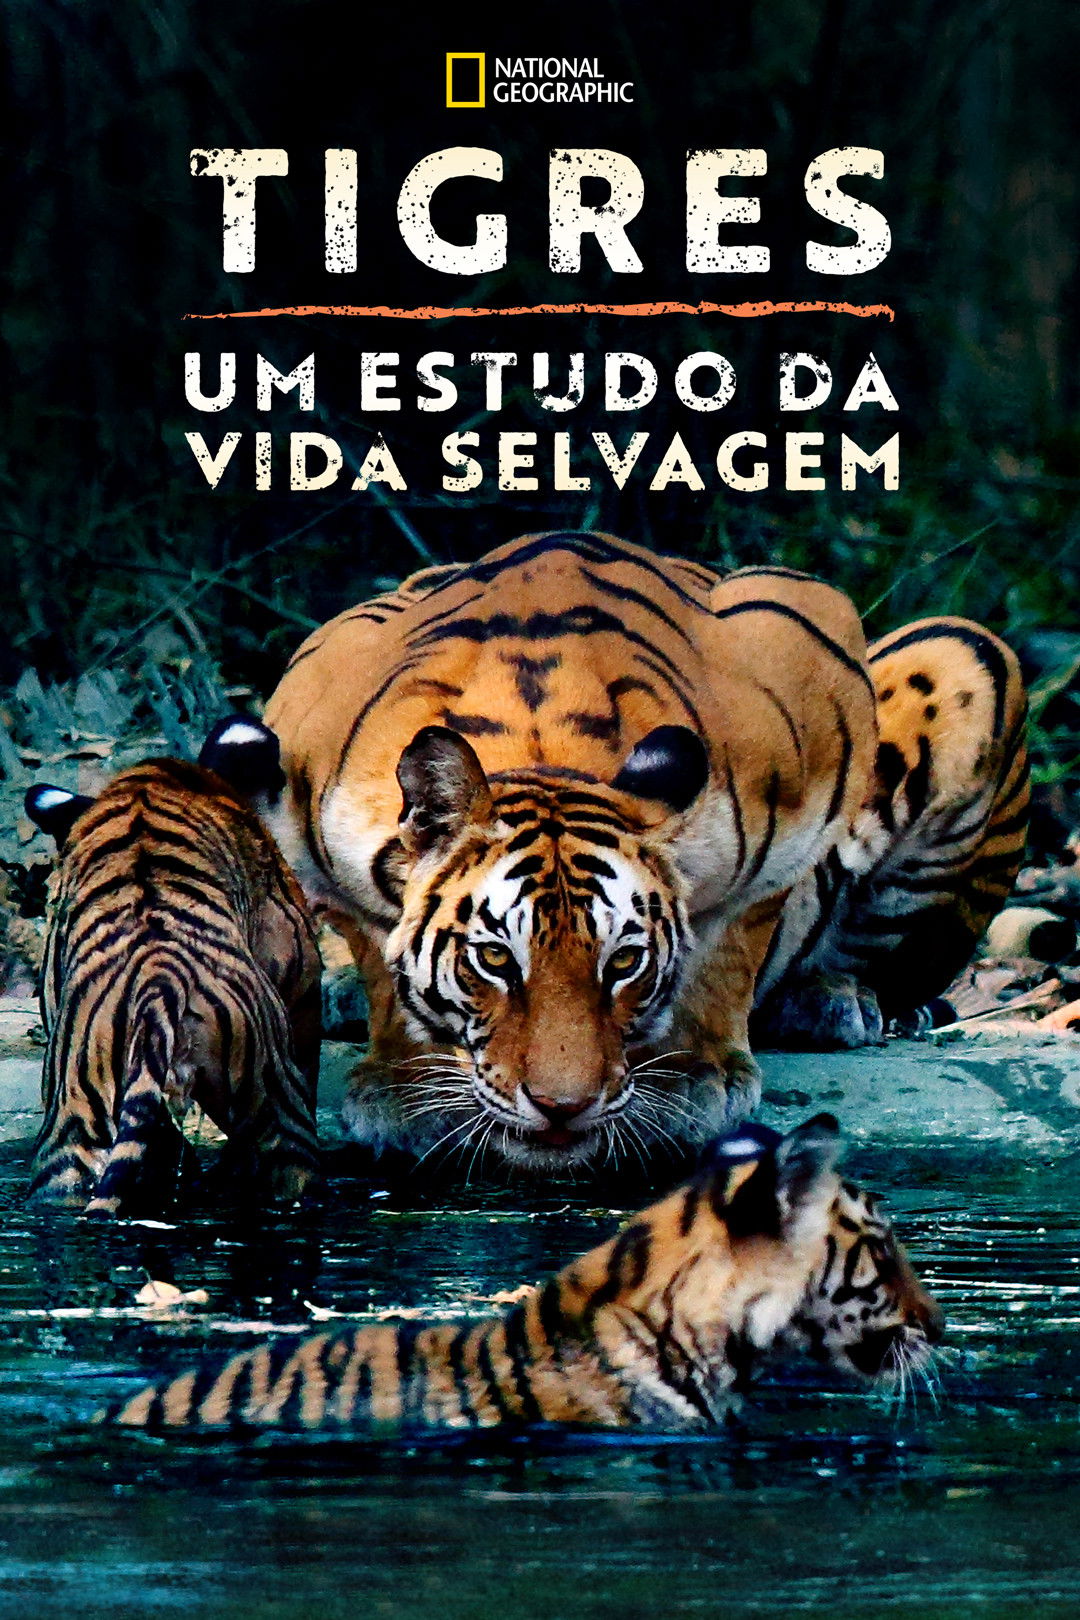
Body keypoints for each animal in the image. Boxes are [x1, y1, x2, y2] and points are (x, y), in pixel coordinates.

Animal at [261, 529, 1026, 1173]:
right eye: (494, 960)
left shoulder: (806, 680)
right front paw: (405, 1088)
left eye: (624, 962)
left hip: (969, 653)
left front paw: (696, 1078)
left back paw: (830, 1002)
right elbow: (376, 946)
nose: (563, 1109)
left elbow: (734, 939)